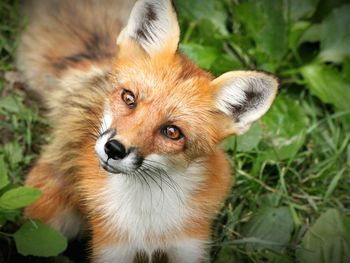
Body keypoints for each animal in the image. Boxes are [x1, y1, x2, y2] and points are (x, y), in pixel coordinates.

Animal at [17, 1, 278, 262]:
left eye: (172, 132)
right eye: (129, 98)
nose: (113, 149)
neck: (148, 224)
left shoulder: (189, 246)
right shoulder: (112, 247)